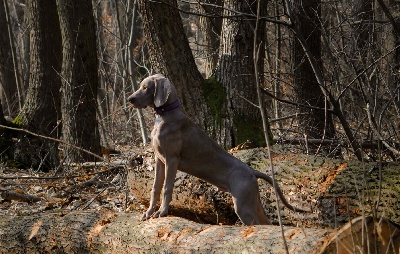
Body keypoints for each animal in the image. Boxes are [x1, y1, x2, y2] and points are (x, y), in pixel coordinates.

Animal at [128, 74, 310, 226]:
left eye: (145, 87)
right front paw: (148, 213)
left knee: (257, 225)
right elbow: (155, 188)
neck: (165, 116)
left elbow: (167, 188)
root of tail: (251, 171)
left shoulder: (172, 159)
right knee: (267, 223)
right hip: (252, 200)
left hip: (243, 204)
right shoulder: (159, 159)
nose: (130, 99)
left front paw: (162, 212)